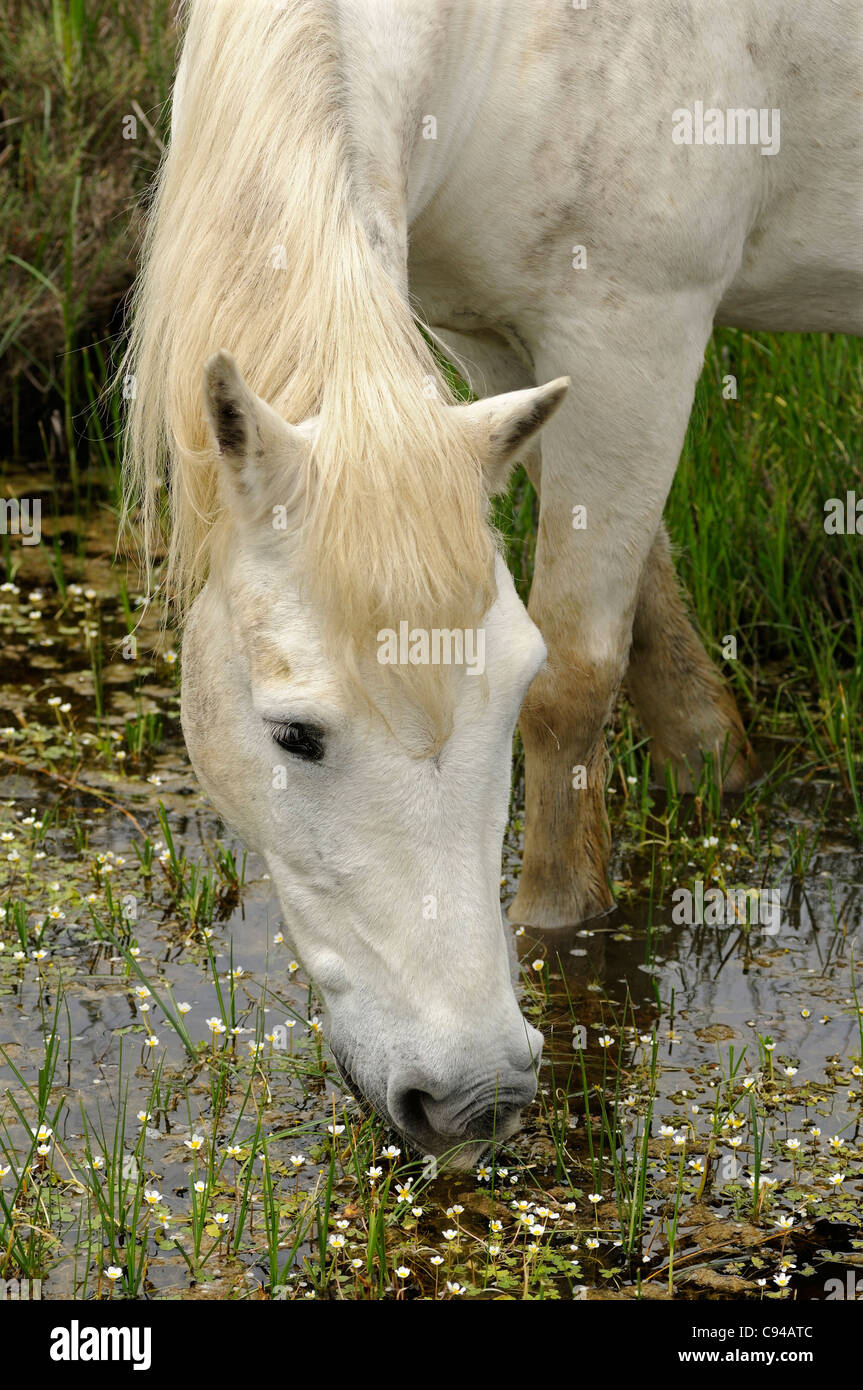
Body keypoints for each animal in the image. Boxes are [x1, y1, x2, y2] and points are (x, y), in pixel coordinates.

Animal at [124, 0, 856, 1167]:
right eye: (292, 735)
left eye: (505, 698)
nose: (472, 1098)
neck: (505, 36)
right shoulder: (500, 345)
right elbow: (652, 632)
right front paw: (718, 768)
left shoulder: (633, 335)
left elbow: (581, 677)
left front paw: (556, 929)